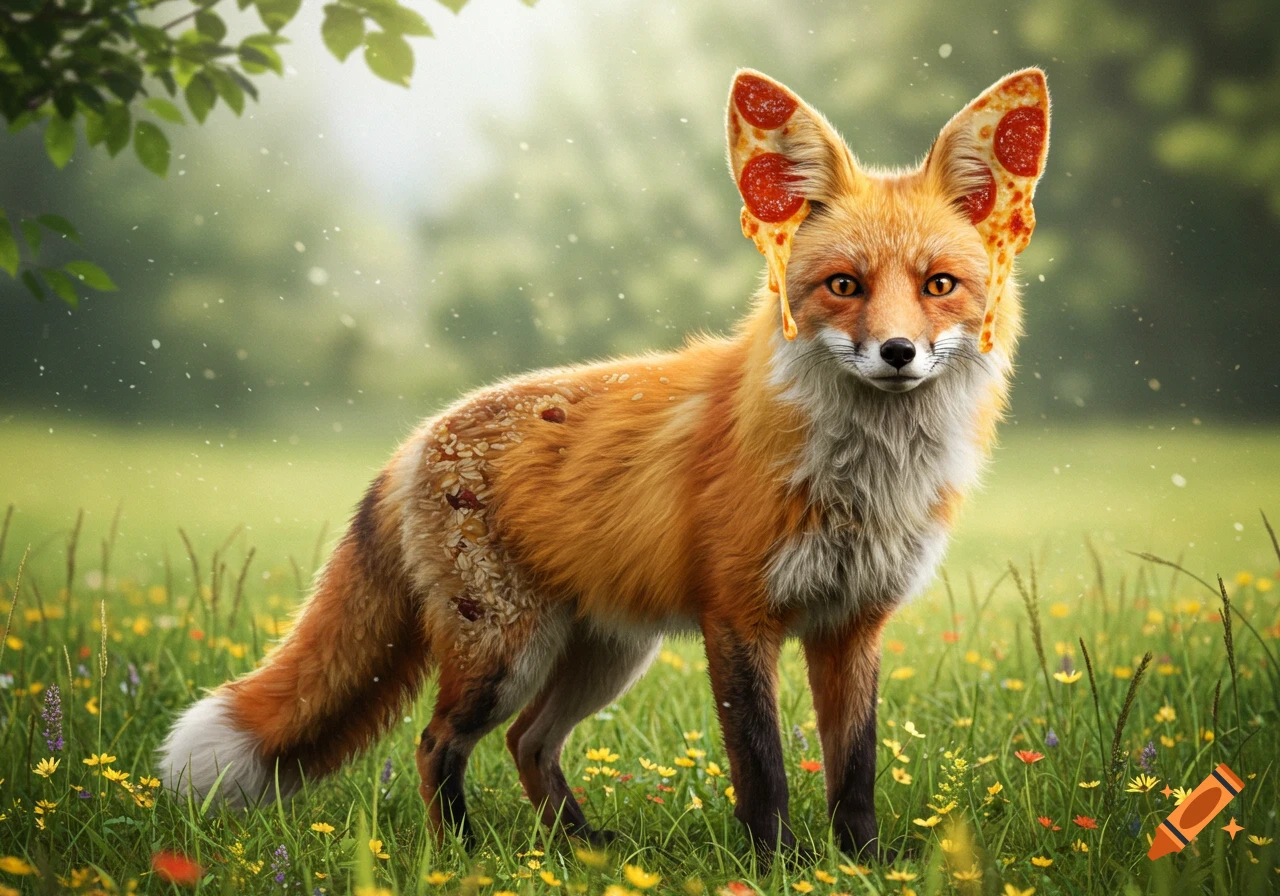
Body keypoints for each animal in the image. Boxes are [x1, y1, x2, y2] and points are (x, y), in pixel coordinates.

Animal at [158, 67, 1049, 859]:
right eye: (844, 285)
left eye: (939, 285)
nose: (898, 353)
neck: (865, 477)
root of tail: (416, 438)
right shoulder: (739, 618)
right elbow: (762, 768)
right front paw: (777, 866)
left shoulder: (853, 624)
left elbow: (854, 769)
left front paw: (860, 863)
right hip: (506, 653)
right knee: (438, 741)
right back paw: (463, 854)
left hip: (606, 655)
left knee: (528, 742)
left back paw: (579, 848)